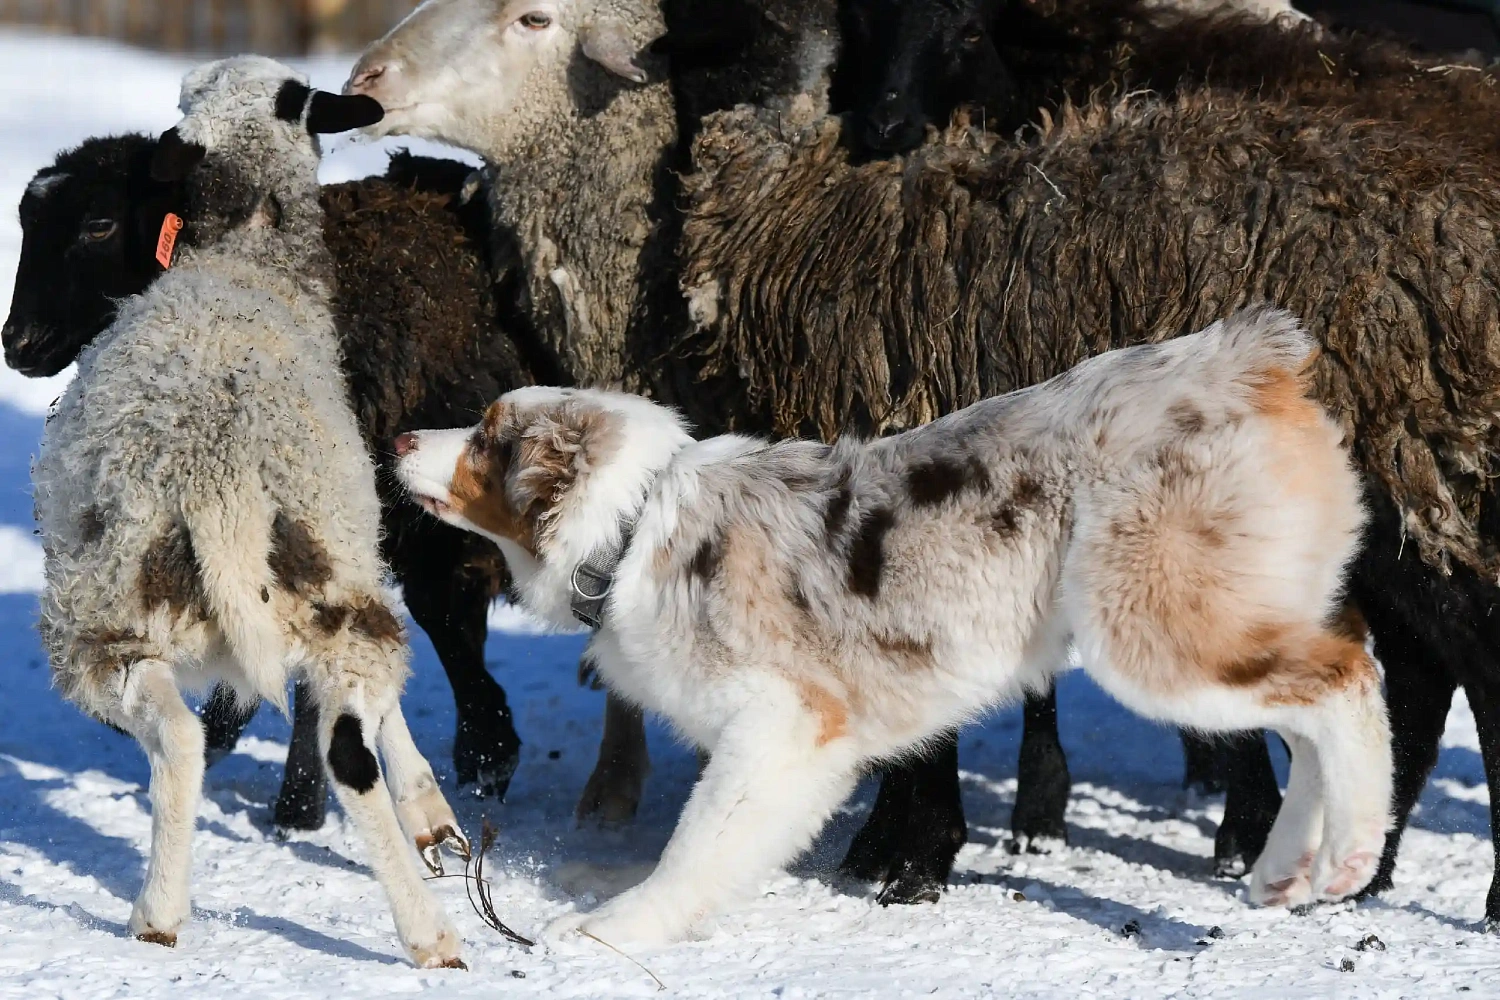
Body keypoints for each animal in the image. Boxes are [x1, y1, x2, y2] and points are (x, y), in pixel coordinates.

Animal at [33, 56, 468, 971]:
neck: (245, 256)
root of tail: (215, 471)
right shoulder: (351, 557)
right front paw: (429, 810)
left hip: (109, 609)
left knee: (185, 737)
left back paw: (159, 912)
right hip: (321, 581)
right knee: (340, 752)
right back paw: (428, 935)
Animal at [396, 308, 1392, 953]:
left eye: (485, 437)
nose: (400, 439)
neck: (633, 528)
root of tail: (1243, 354)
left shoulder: (786, 727)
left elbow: (697, 847)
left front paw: (612, 928)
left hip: (1152, 636)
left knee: (1348, 681)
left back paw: (1349, 856)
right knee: (1319, 702)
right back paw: (1287, 868)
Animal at [675, 93, 1500, 923]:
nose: (883, 122)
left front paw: (912, 859)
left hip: (1415, 499)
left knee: (1454, 663)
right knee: (1413, 676)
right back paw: (1358, 863)